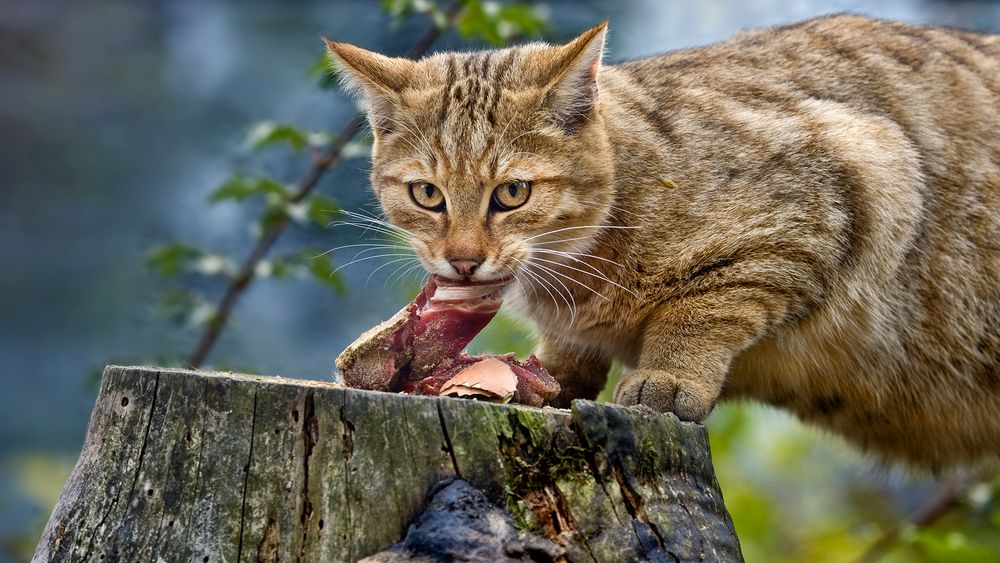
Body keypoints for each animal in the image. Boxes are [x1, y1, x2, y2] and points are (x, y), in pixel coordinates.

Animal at [324, 15, 996, 470]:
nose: (463, 261)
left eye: (512, 193)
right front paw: (543, 377)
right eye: (427, 195)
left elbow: (704, 308)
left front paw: (669, 374)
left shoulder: (846, 182)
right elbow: (565, 361)